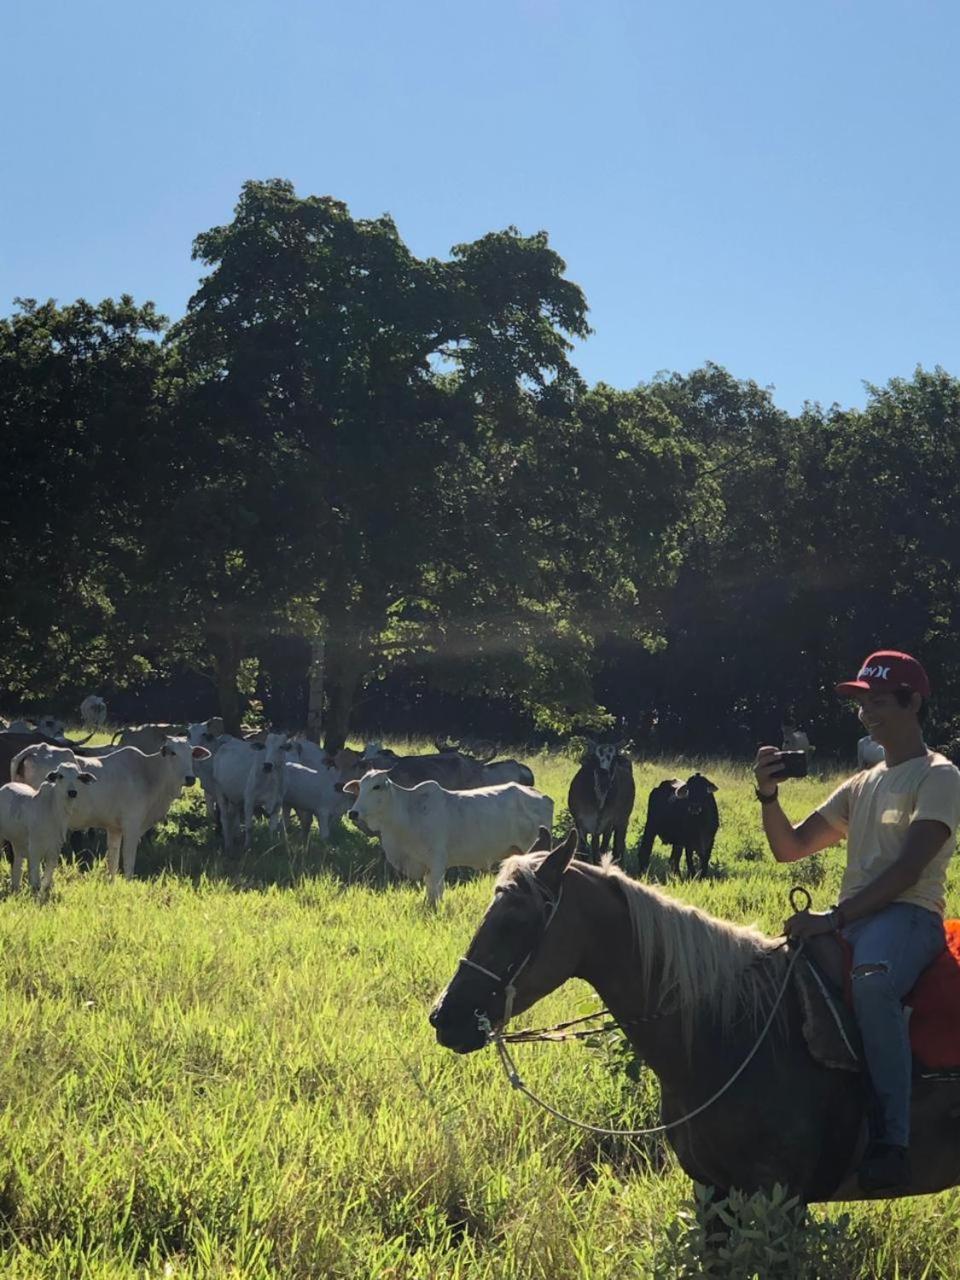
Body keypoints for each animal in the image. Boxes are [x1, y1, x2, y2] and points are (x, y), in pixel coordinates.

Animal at [0, 757, 96, 890]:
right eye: (60, 776)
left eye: (78, 777)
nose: (72, 792)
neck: (53, 813)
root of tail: (6, 786)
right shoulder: (35, 851)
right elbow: (36, 883)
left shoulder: (53, 852)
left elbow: (46, 882)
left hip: (18, 841)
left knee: (18, 862)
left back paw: (15, 887)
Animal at [343, 768, 555, 911]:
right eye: (359, 787)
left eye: (376, 786)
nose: (353, 812)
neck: (407, 812)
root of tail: (544, 797)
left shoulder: (436, 862)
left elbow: (435, 892)